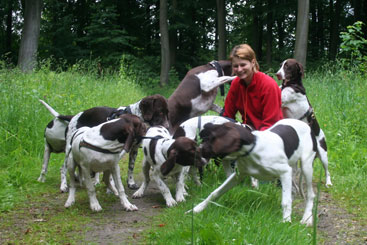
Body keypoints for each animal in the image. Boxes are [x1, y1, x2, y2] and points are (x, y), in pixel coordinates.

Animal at [188, 118, 326, 226]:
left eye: (212, 139)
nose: (197, 150)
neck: (253, 148)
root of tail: (307, 125)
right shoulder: (238, 175)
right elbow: (215, 192)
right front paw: (196, 209)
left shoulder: (285, 172)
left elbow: (286, 202)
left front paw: (286, 221)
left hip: (306, 166)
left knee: (310, 194)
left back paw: (306, 218)